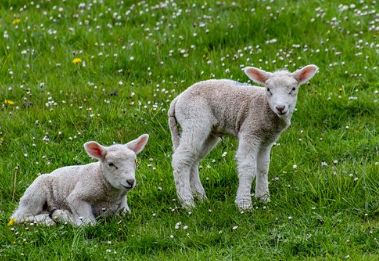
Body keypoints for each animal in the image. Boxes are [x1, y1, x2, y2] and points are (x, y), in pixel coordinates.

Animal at [10, 133, 150, 224]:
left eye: (135, 161)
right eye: (111, 164)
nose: (130, 181)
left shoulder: (122, 205)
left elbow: (123, 215)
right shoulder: (77, 197)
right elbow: (88, 223)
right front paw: (64, 216)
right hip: (35, 193)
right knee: (19, 217)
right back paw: (48, 220)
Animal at [168, 64, 320, 209]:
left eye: (293, 89)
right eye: (268, 90)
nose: (280, 108)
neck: (265, 107)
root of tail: (178, 99)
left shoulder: (266, 141)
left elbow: (263, 168)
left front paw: (263, 198)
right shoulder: (250, 132)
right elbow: (247, 167)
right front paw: (244, 204)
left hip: (208, 132)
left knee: (192, 160)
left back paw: (201, 197)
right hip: (194, 120)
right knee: (181, 160)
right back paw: (188, 203)